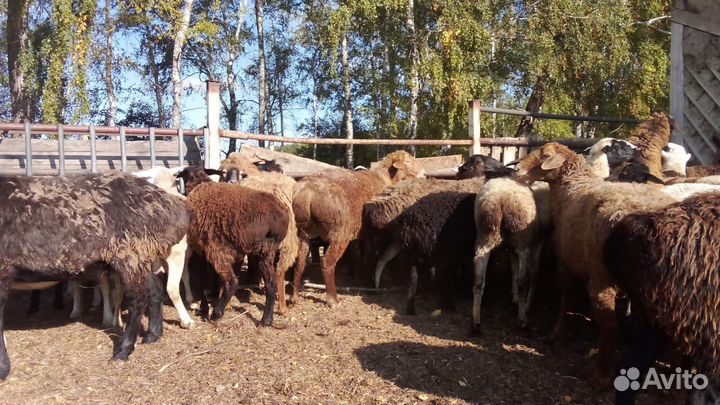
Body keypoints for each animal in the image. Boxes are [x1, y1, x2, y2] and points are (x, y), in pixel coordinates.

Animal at [0, 172, 189, 380]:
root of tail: (170, 204)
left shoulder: (3, 270)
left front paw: (3, 368)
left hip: (129, 253)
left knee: (138, 299)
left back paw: (123, 350)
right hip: (140, 255)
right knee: (155, 290)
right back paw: (152, 335)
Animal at [180, 166, 289, 326]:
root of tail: (279, 217)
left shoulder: (208, 247)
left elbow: (208, 277)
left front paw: (205, 303)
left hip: (221, 248)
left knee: (232, 282)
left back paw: (217, 313)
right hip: (266, 250)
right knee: (271, 283)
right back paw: (266, 319)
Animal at [220, 153, 298, 315]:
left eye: (243, 173)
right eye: (222, 172)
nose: (231, 182)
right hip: (287, 242)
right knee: (280, 271)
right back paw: (282, 307)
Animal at [291, 150, 425, 307]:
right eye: (408, 161)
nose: (424, 174)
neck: (388, 178)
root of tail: (307, 194)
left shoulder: (359, 234)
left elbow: (358, 255)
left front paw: (357, 276)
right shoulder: (374, 233)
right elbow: (373, 257)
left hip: (303, 233)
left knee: (300, 261)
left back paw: (294, 297)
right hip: (339, 234)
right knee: (327, 263)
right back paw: (333, 299)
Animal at [515, 142, 676, 390]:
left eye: (546, 155)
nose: (516, 169)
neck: (572, 188)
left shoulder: (565, 263)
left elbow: (565, 300)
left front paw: (556, 334)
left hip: (603, 279)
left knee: (609, 328)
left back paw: (601, 377)